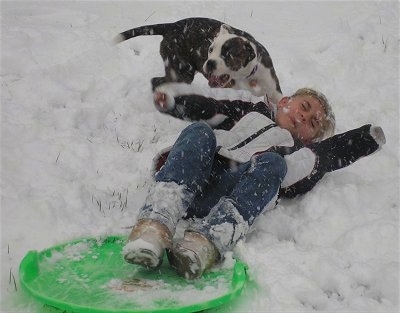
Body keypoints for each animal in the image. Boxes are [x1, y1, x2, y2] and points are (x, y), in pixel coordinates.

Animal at [114, 17, 282, 102]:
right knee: (156, 81)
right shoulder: (233, 83)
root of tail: (171, 26)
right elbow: (255, 90)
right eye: (210, 50)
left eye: (228, 55)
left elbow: (277, 98)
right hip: (182, 72)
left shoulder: (273, 85)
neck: (251, 72)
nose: (209, 63)